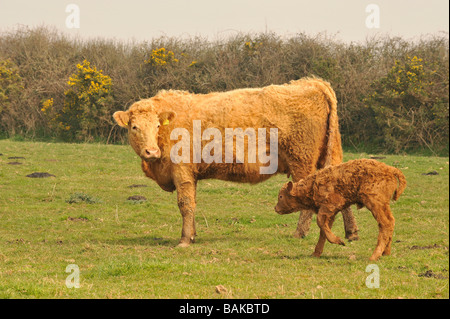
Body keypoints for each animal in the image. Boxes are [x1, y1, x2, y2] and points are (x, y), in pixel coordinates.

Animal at [114, 77, 360, 248]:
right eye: (134, 127)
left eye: (156, 125)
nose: (151, 151)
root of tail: (312, 82)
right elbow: (193, 204)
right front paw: (192, 235)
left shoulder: (182, 171)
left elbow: (185, 204)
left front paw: (184, 240)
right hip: (330, 158)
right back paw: (351, 232)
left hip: (302, 161)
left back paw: (300, 232)